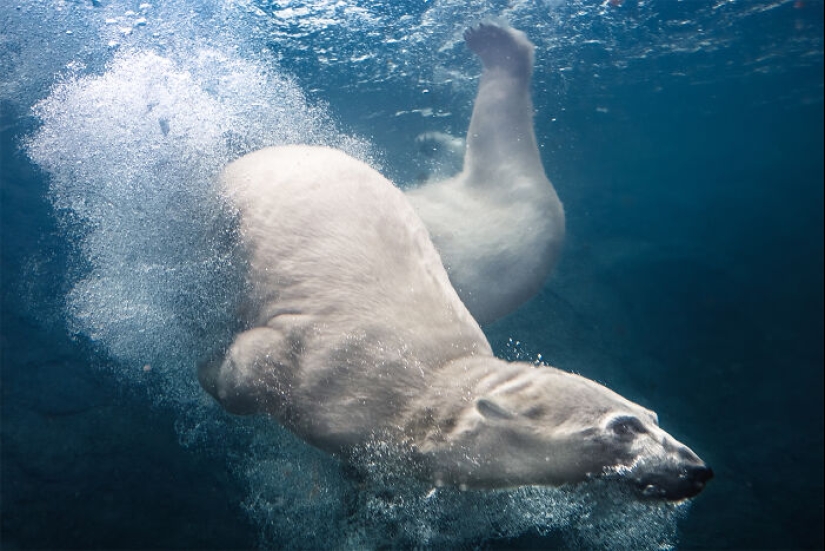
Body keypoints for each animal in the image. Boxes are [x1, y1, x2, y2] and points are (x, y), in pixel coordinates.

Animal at [199, 144, 712, 500]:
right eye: (624, 427)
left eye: (654, 416)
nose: (696, 469)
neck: (424, 392)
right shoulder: (331, 365)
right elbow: (254, 363)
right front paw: (208, 370)